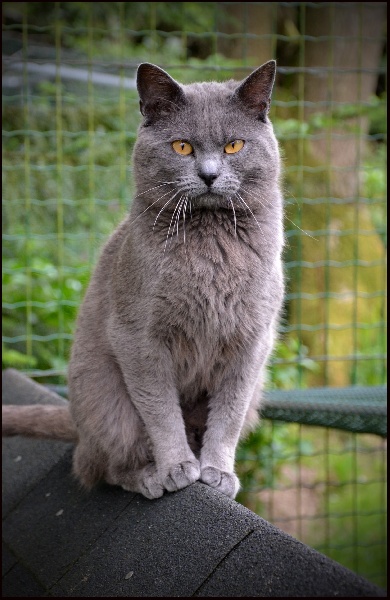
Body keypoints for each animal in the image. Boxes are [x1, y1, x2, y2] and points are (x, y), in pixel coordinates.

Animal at [2, 62, 284, 502]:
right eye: (182, 147)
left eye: (234, 146)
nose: (209, 175)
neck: (210, 244)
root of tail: (74, 422)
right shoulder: (138, 337)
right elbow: (160, 410)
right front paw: (177, 468)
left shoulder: (252, 340)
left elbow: (230, 414)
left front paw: (217, 472)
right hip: (107, 403)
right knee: (99, 465)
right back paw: (149, 476)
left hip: (256, 391)